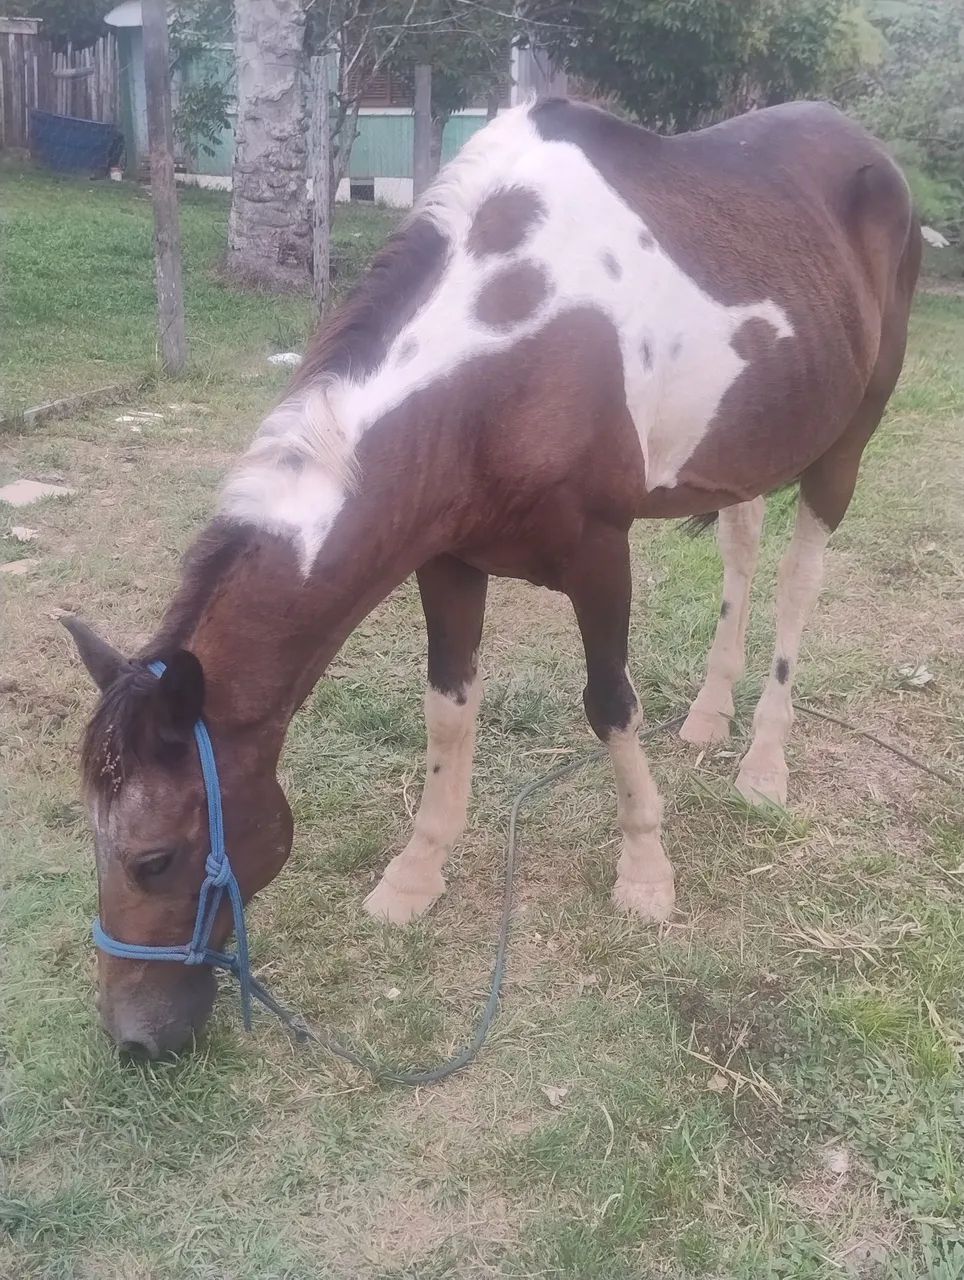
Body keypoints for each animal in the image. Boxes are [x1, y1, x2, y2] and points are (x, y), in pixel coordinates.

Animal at [65, 97, 920, 1058]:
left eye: (154, 858)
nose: (133, 1040)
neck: (509, 352)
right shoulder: (446, 563)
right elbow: (448, 712)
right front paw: (415, 876)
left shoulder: (600, 552)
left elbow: (609, 705)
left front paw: (645, 871)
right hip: (747, 446)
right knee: (741, 543)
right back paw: (708, 717)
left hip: (845, 444)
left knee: (800, 581)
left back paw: (765, 763)